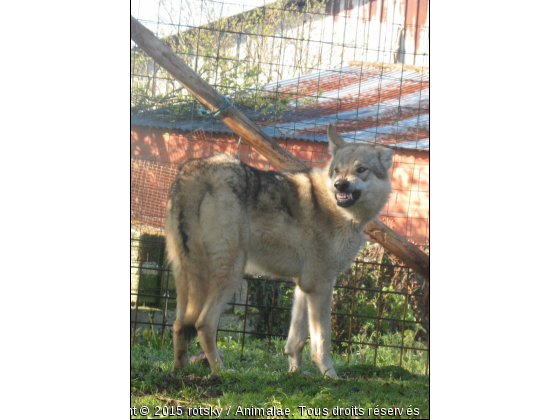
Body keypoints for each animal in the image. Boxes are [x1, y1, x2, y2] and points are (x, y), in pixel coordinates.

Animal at [165, 123, 394, 378]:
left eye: (361, 169)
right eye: (337, 171)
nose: (340, 185)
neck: (341, 212)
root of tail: (193, 171)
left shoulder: (304, 285)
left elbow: (296, 340)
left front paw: (295, 372)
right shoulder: (322, 284)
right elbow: (322, 341)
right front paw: (330, 376)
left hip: (186, 277)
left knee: (179, 325)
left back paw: (180, 371)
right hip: (231, 274)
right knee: (203, 323)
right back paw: (222, 373)